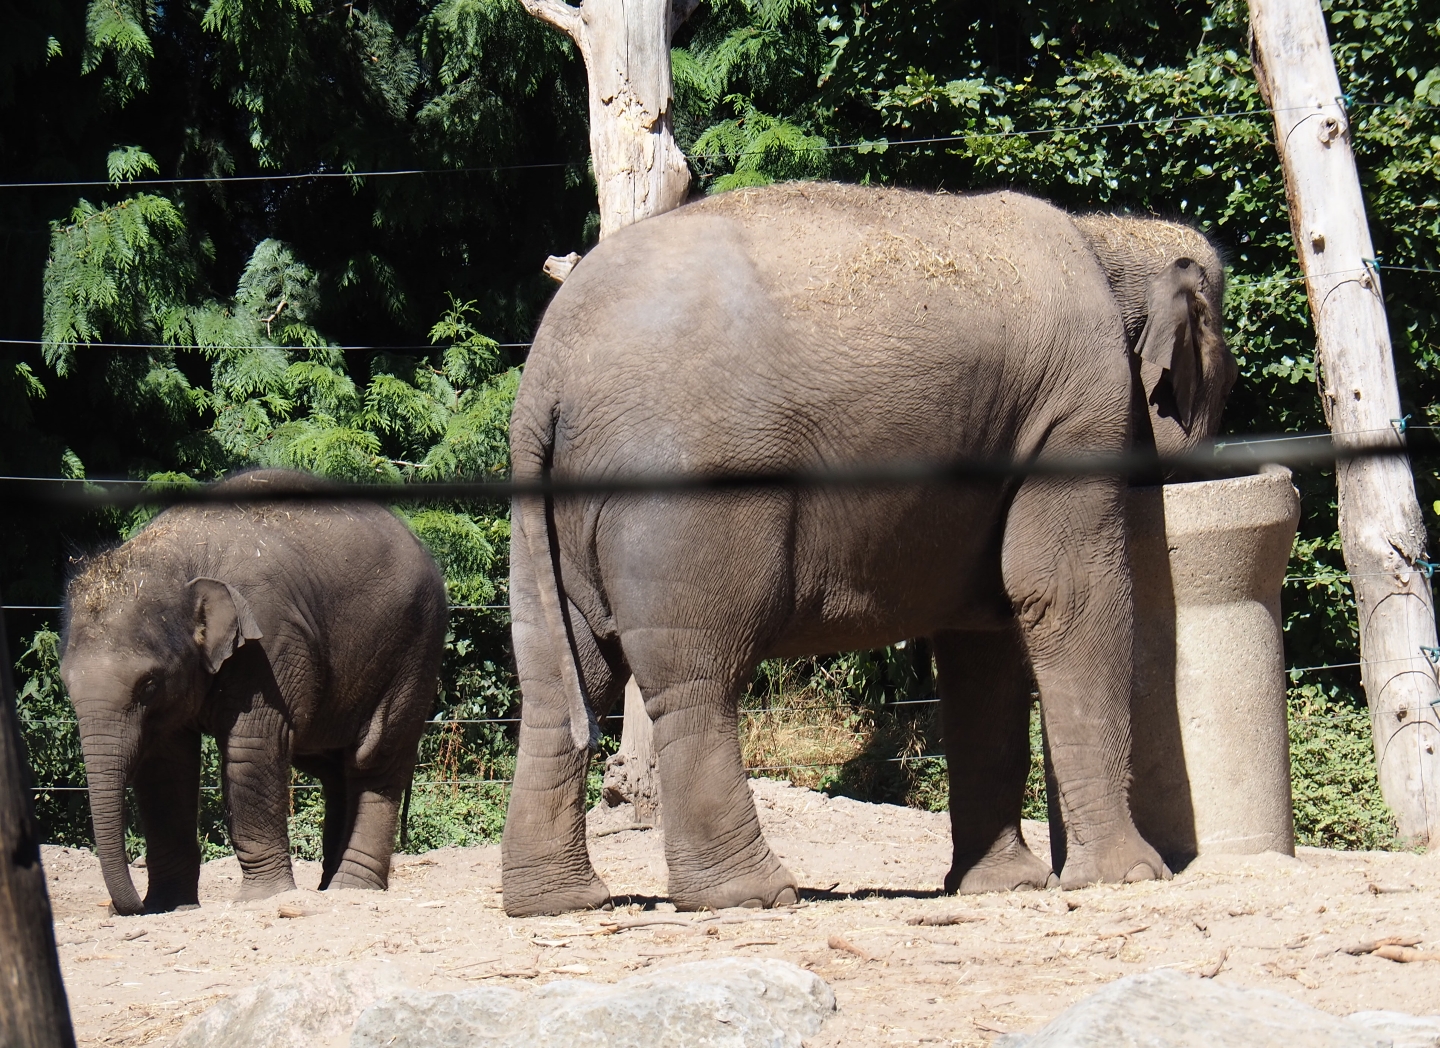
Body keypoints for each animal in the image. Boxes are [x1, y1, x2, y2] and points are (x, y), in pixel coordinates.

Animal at [59, 469, 447, 915]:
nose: (127, 906)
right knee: (334, 768)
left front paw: (263, 898)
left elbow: (252, 747)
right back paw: (327, 887)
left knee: (375, 758)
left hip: (415, 650)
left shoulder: (269, 640)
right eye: (66, 684)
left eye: (149, 683)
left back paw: (352, 888)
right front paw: (170, 906)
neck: (179, 556)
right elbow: (164, 768)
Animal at [501, 182, 1237, 917]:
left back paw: (561, 902)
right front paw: (1131, 875)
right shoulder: (1080, 406)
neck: (1107, 236)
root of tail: (547, 380)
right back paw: (753, 894)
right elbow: (1061, 591)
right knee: (696, 677)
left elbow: (982, 636)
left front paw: (1004, 885)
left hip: (546, 518)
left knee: (560, 683)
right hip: (686, 503)